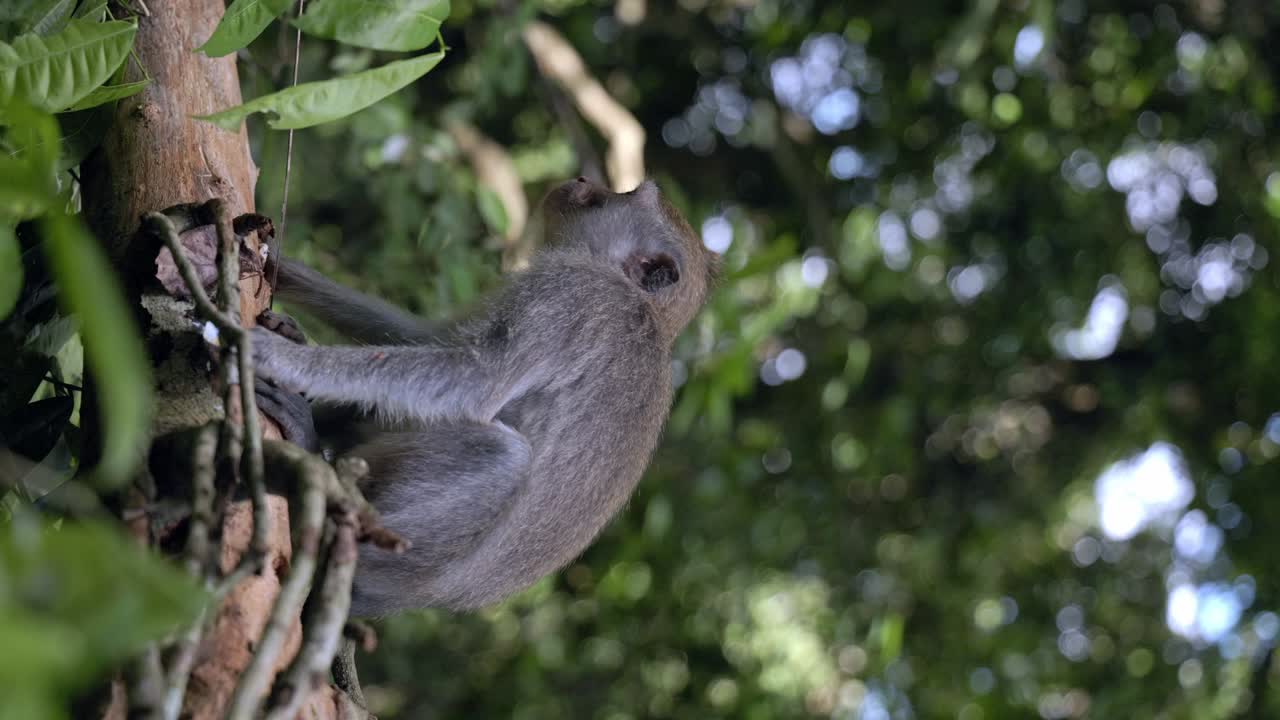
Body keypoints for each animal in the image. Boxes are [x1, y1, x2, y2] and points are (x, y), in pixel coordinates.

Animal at [251, 177, 719, 616]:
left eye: (622, 195)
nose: (585, 181)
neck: (649, 309)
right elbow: (426, 337)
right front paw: (281, 269)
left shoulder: (573, 292)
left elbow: (475, 378)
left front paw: (282, 357)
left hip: (399, 554)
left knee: (503, 455)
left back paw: (314, 465)